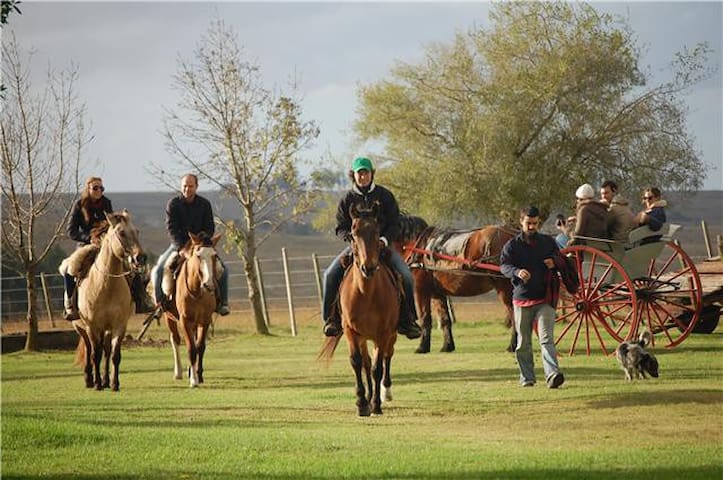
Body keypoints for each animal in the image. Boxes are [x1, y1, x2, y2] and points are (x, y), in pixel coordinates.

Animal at [66, 212, 147, 392]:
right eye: (121, 232)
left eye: (137, 231)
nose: (140, 257)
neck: (105, 285)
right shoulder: (92, 326)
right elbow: (95, 355)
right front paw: (97, 384)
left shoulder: (119, 325)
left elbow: (115, 355)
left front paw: (114, 383)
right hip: (81, 328)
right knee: (89, 349)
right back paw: (90, 380)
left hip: (106, 330)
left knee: (107, 350)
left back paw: (106, 380)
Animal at [164, 231, 221, 388]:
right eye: (198, 255)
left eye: (215, 255)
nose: (209, 285)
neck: (196, 291)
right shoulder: (185, 321)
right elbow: (191, 348)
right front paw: (193, 380)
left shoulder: (205, 320)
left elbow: (200, 346)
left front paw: (198, 375)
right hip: (169, 317)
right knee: (175, 340)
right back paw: (178, 372)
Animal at [320, 203, 402, 416]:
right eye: (354, 232)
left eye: (377, 232)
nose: (368, 267)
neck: (366, 293)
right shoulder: (351, 332)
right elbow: (358, 363)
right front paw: (362, 403)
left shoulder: (383, 333)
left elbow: (377, 368)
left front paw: (376, 404)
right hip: (363, 337)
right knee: (366, 363)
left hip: (389, 335)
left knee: (387, 357)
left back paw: (385, 392)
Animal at [394, 216, 516, 354]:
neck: (417, 247)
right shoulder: (437, 293)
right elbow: (444, 319)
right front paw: (447, 346)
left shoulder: (420, 289)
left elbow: (424, 317)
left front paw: (422, 347)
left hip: (504, 288)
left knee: (515, 314)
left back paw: (512, 346)